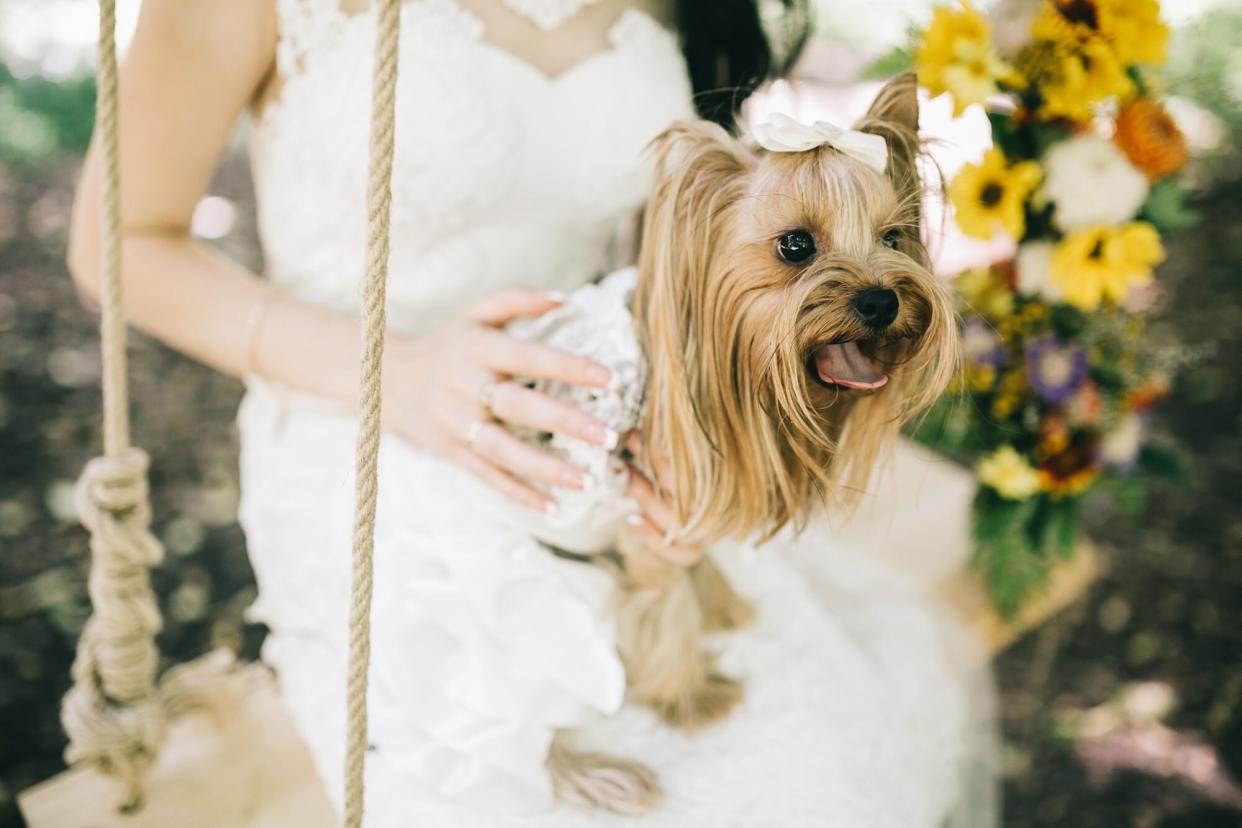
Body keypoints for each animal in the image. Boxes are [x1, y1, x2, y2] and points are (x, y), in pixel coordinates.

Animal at [479, 72, 953, 814]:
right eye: (795, 246)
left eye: (897, 237)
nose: (882, 301)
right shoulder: (649, 526)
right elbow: (665, 606)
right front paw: (692, 696)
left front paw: (723, 603)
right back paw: (601, 773)